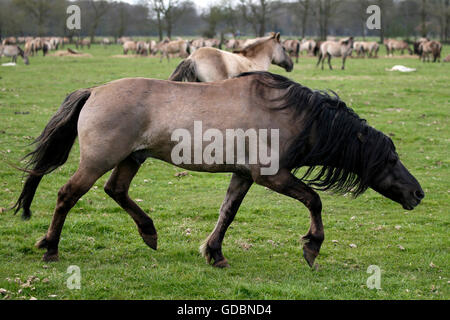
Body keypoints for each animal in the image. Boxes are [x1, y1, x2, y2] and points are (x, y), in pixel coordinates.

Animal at [12, 71, 424, 268]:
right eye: (390, 159)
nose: (418, 193)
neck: (291, 113)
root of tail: (94, 91)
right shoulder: (271, 175)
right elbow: (314, 201)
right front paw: (312, 246)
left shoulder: (243, 175)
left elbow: (228, 213)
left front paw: (214, 253)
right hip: (98, 160)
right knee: (67, 195)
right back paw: (50, 247)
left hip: (132, 157)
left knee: (116, 190)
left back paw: (149, 232)